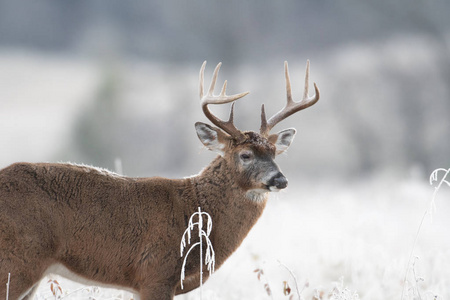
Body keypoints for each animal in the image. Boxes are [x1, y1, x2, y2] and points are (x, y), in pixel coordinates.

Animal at [0, 60, 320, 298]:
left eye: (275, 152)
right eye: (245, 155)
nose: (280, 179)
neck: (196, 210)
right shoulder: (155, 274)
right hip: (18, 261)